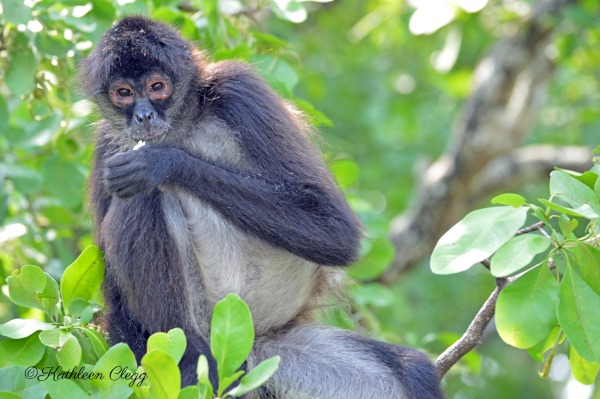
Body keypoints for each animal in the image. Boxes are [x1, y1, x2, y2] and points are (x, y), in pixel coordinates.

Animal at [82, 16, 442, 399]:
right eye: (124, 93)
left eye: (157, 86)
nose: (144, 116)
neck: (182, 128)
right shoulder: (107, 143)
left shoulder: (239, 89)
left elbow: (336, 232)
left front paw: (161, 162)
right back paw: (191, 355)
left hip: (273, 350)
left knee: (409, 371)